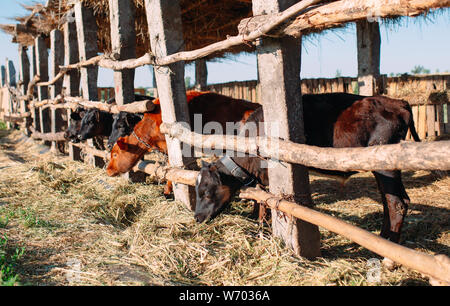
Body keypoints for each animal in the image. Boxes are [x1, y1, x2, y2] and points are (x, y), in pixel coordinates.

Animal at [195, 92, 420, 246]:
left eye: (205, 192)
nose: (196, 217)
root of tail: (398, 102)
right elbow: (259, 200)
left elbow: (264, 204)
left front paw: (263, 230)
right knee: (392, 201)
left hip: (385, 162)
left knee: (397, 203)